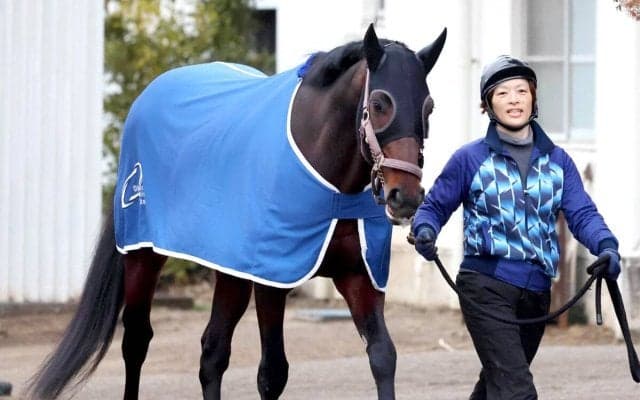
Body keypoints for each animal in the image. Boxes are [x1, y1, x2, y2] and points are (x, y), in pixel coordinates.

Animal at [27, 24, 446, 400]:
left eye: (429, 106)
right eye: (379, 103)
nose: (405, 197)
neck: (327, 179)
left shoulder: (359, 276)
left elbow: (383, 357)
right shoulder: (272, 279)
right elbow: (273, 373)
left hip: (229, 268)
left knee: (212, 352)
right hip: (143, 255)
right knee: (136, 340)